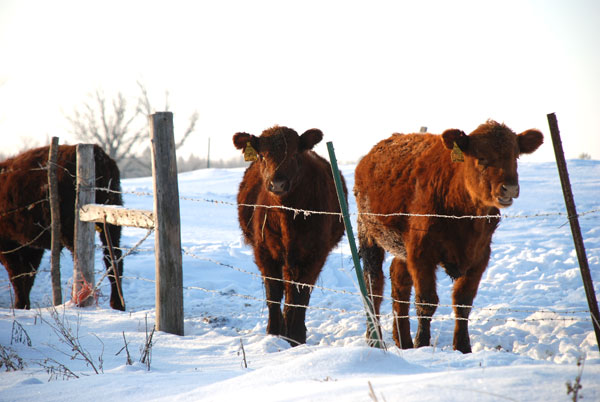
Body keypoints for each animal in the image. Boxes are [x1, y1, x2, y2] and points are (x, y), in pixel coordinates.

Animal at [0, 144, 124, 310]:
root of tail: (98, 153)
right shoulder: (31, 247)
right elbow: (27, 276)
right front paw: (24, 305)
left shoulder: (8, 245)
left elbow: (17, 276)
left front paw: (20, 305)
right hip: (111, 221)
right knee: (113, 257)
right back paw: (117, 304)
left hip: (69, 230)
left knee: (81, 261)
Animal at [234, 125, 346, 346]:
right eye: (261, 155)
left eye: (294, 154)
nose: (277, 183)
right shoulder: (264, 252)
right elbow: (273, 293)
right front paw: (274, 333)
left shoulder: (314, 254)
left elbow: (300, 297)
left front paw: (295, 337)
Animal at [354, 120, 548, 352]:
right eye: (481, 157)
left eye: (516, 156)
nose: (509, 188)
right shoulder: (421, 253)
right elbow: (427, 301)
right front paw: (422, 344)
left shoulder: (480, 256)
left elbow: (463, 302)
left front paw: (463, 347)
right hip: (369, 235)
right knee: (373, 286)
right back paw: (375, 340)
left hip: (402, 248)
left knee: (399, 281)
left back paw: (403, 341)